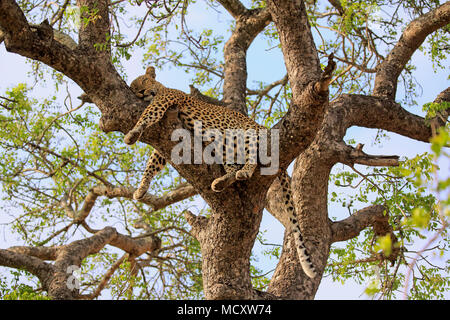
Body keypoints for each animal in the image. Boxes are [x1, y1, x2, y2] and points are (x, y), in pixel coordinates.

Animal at [124, 66, 316, 278]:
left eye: (143, 81)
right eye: (134, 89)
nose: (141, 92)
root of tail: (260, 126)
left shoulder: (163, 103)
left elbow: (147, 115)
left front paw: (132, 133)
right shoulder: (168, 137)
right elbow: (153, 162)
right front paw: (141, 188)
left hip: (242, 134)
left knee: (252, 155)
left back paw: (244, 172)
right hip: (223, 145)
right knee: (233, 165)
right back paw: (222, 181)